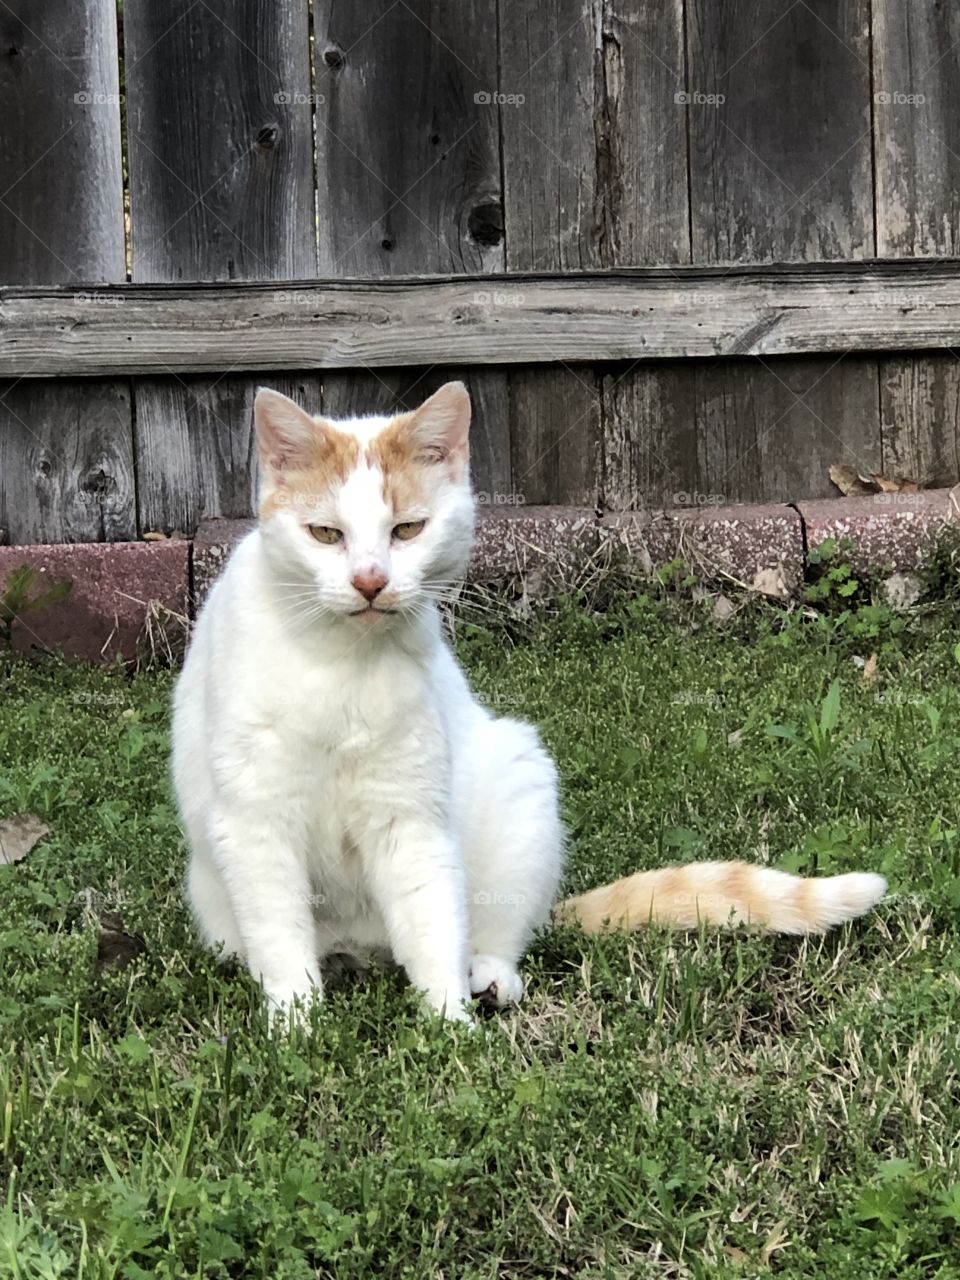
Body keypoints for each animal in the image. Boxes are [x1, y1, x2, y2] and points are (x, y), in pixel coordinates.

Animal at [172, 373, 885, 1024]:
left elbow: (432, 925)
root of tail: (362, 947)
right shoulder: (256, 825)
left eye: (408, 530)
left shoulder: (413, 821)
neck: (341, 665)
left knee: (491, 932)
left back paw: (486, 981)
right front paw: (294, 1025)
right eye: (325, 534)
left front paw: (449, 1030)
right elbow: (280, 937)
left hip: (520, 781)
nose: (370, 581)